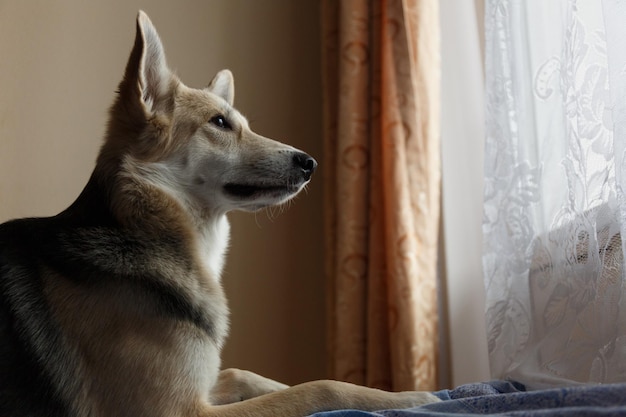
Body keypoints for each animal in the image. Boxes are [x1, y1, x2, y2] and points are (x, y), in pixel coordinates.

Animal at [0, 10, 438, 416]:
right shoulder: (179, 411)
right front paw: (410, 397)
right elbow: (320, 387)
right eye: (220, 122)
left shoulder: (207, 385)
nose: (310, 163)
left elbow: (249, 375)